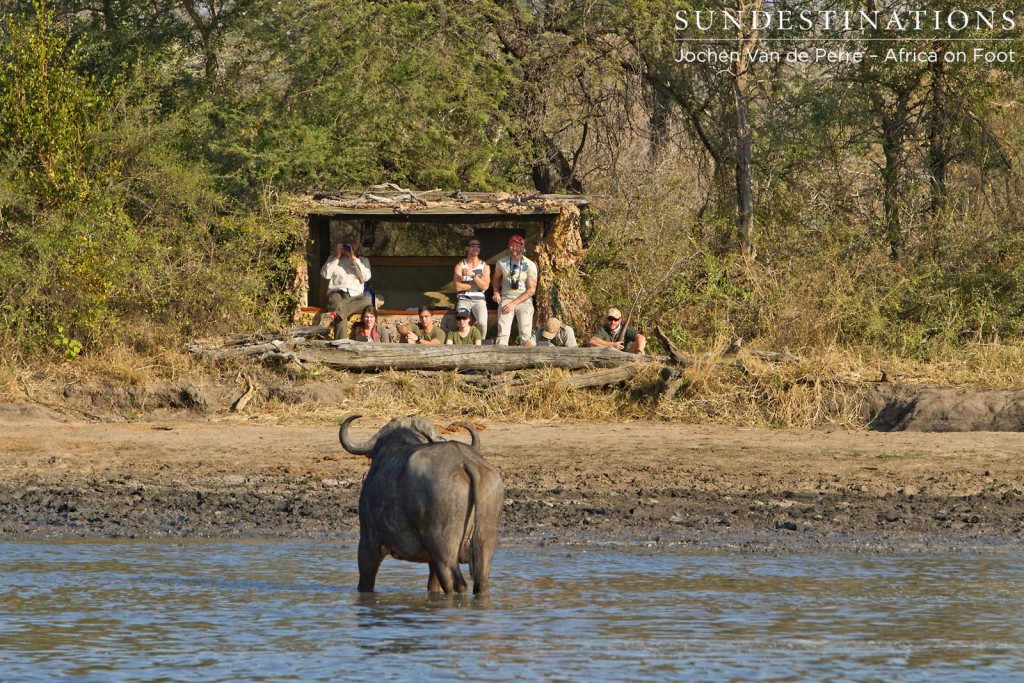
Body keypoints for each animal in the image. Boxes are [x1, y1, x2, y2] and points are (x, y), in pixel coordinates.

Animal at [339, 413, 503, 593]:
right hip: (484, 544)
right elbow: (432, 585)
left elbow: (365, 582)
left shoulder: (368, 541)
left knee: (456, 583)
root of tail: (466, 462)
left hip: (444, 551)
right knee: (481, 581)